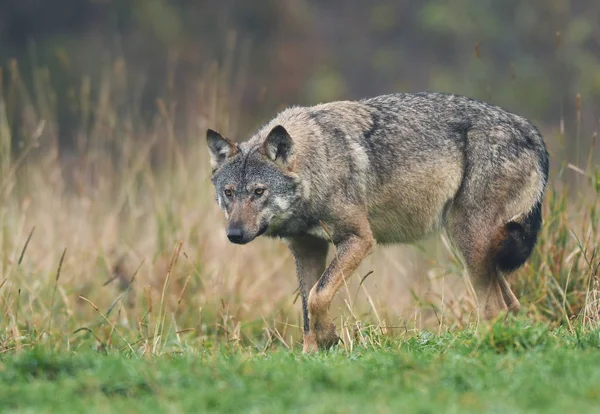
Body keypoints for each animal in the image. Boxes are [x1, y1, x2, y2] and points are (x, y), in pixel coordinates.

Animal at [206, 92, 548, 350]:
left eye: (259, 192)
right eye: (229, 193)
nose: (234, 234)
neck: (319, 164)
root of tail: (530, 130)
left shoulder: (359, 239)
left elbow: (318, 295)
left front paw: (328, 338)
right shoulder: (306, 248)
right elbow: (307, 306)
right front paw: (312, 353)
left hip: (469, 243)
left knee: (494, 308)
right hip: (474, 248)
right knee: (511, 306)